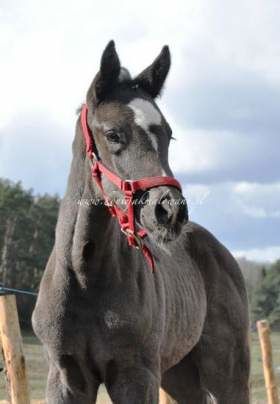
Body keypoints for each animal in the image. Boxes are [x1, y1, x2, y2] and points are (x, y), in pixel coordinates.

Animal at [32, 42, 249, 402]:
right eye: (112, 133)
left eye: (169, 135)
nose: (170, 211)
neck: (85, 275)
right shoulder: (64, 378)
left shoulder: (136, 375)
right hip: (178, 372)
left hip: (227, 369)